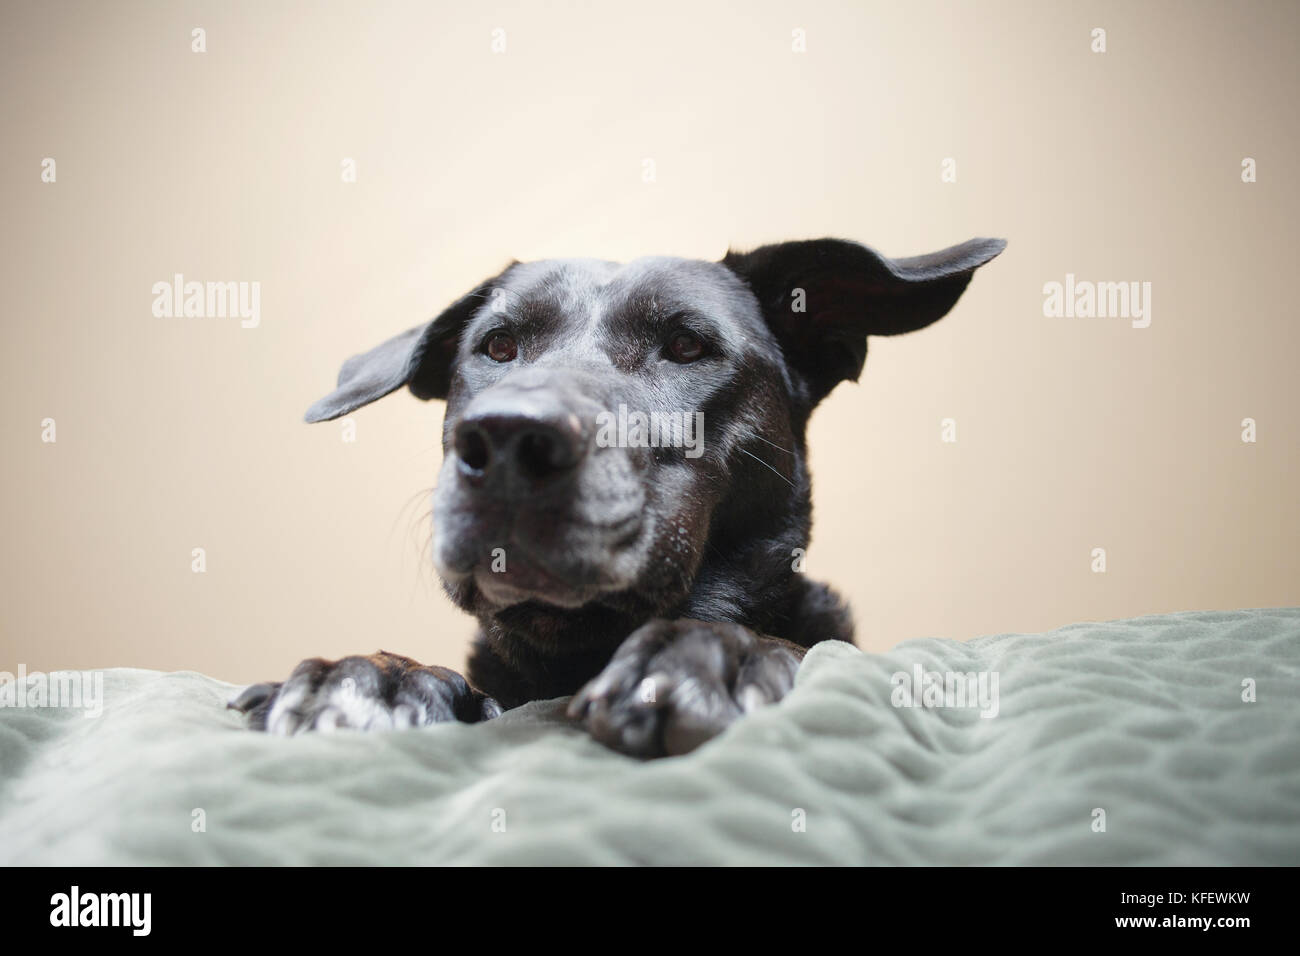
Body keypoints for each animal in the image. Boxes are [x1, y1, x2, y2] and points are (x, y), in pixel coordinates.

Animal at [231, 238, 1003, 754]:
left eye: (688, 346)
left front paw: (710, 656)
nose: (507, 441)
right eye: (497, 346)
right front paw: (378, 677)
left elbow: (770, 637)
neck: (577, 649)